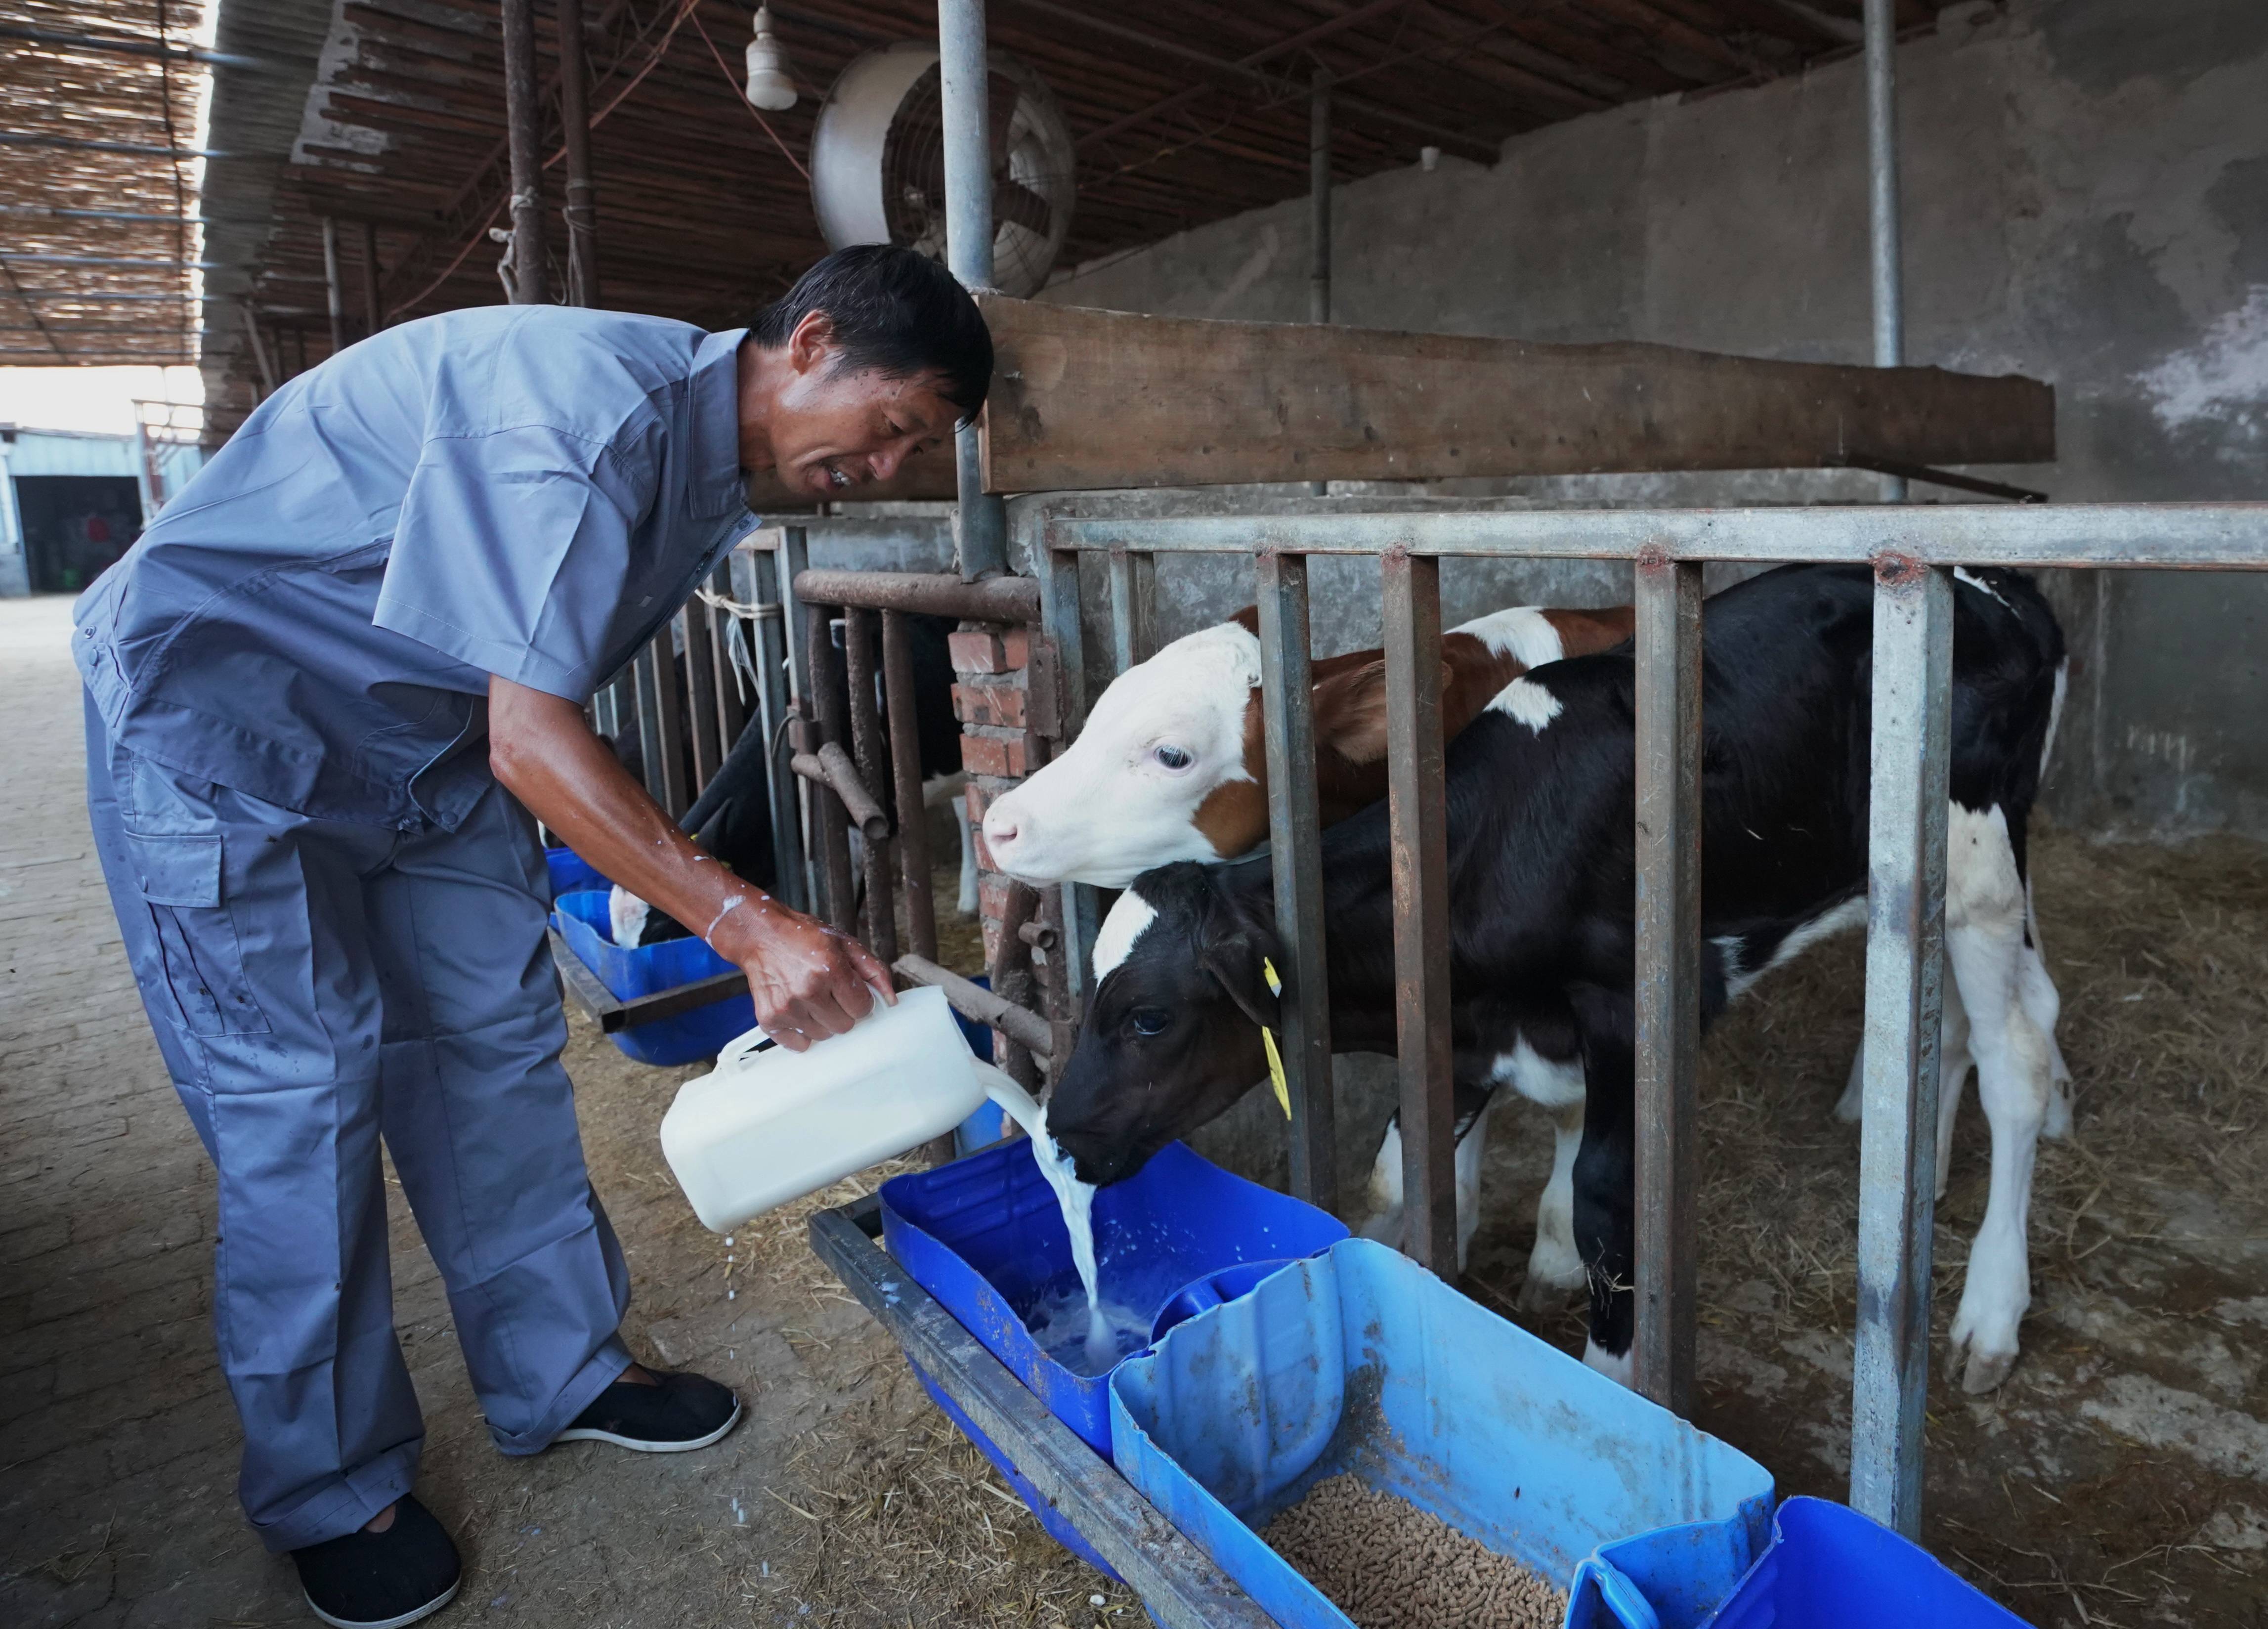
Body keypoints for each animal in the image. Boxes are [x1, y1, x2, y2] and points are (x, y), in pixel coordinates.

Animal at [1043, 567, 2077, 1397]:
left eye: (1146, 1017)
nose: (1057, 1137)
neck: (1488, 839)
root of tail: (2004, 589)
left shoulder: (1629, 1010)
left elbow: (1606, 1206)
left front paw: (1614, 1382)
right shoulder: (1460, 1027)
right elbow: (1403, 1175)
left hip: (1979, 863)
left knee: (2017, 1058)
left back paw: (1987, 1314)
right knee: (1958, 1024)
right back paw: (1924, 1174)